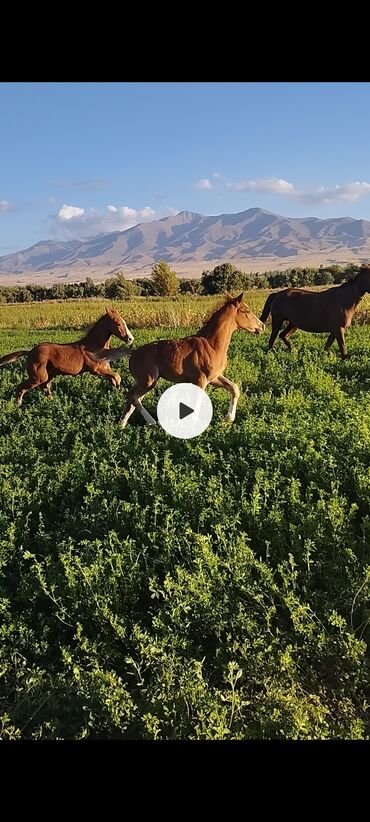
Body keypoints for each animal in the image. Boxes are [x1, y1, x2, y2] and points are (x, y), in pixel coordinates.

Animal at [0, 308, 133, 406]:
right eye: (118, 323)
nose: (130, 339)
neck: (94, 346)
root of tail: (30, 352)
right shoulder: (96, 370)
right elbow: (117, 376)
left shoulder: (105, 369)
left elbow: (114, 378)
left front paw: (117, 393)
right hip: (38, 377)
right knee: (22, 387)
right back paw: (17, 405)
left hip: (49, 375)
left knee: (45, 387)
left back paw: (52, 403)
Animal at [92, 292, 266, 428]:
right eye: (247, 311)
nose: (262, 326)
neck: (212, 345)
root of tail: (133, 353)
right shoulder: (200, 380)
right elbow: (197, 402)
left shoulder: (214, 377)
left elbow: (234, 388)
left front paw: (228, 419)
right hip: (149, 380)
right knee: (133, 396)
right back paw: (151, 422)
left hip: (141, 381)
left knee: (132, 399)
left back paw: (121, 425)